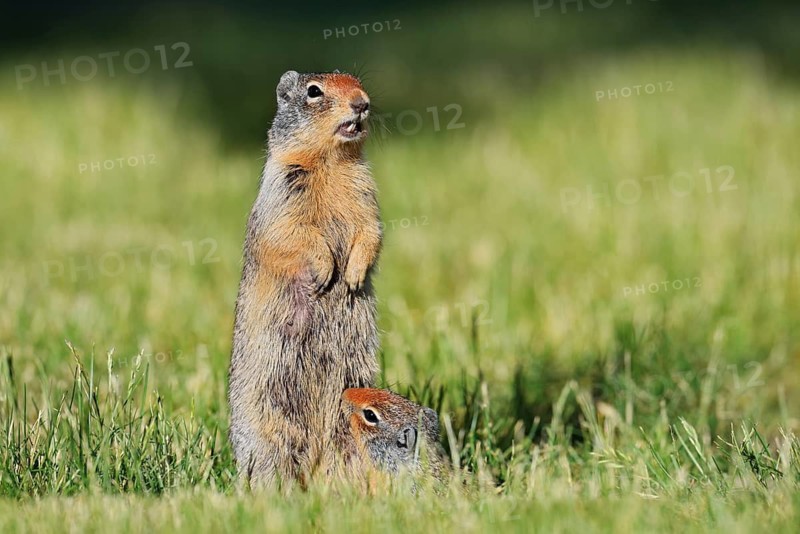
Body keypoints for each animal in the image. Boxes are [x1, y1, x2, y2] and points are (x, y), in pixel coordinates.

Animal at [228, 70, 382, 487]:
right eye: (314, 92)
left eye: (358, 81)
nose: (362, 103)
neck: (331, 162)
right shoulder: (283, 190)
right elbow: (292, 233)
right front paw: (327, 270)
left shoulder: (366, 194)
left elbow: (372, 231)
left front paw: (354, 275)